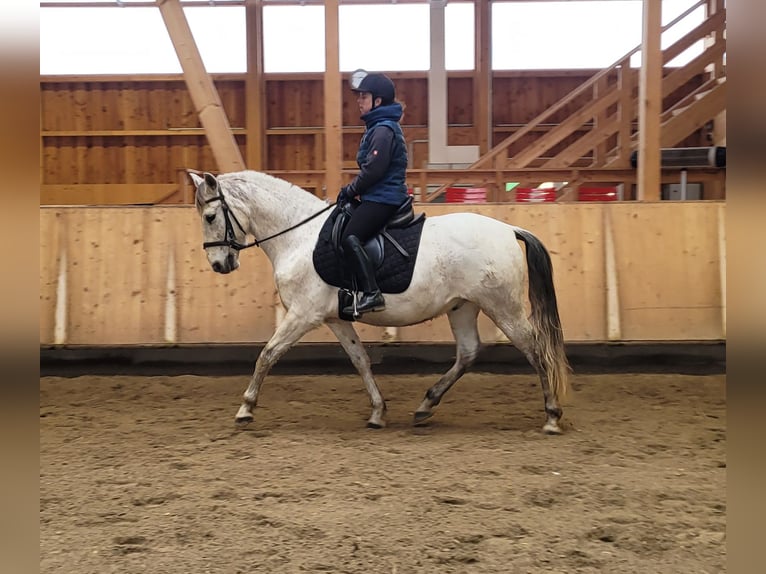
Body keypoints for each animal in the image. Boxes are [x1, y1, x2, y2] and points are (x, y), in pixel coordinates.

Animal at [190, 170, 571, 434]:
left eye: (210, 217)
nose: (219, 264)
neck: (299, 236)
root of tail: (508, 229)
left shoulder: (302, 314)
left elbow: (267, 354)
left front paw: (246, 409)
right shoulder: (336, 319)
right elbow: (360, 360)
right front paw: (377, 411)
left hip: (503, 306)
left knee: (536, 350)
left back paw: (552, 416)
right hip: (462, 306)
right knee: (468, 352)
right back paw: (425, 405)